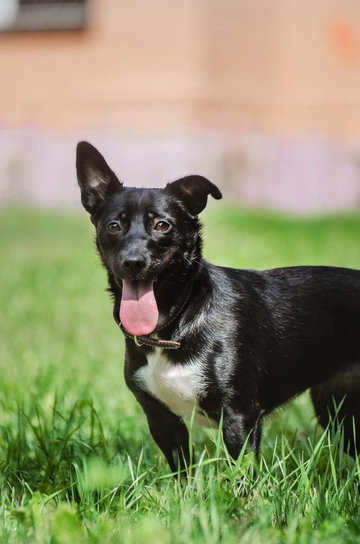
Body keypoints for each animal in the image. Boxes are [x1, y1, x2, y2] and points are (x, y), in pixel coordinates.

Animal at [76, 140, 360, 472]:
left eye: (162, 225)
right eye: (113, 226)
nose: (133, 262)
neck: (179, 321)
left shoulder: (239, 417)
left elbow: (242, 476)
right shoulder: (162, 421)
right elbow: (182, 473)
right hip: (338, 411)